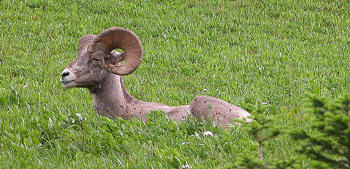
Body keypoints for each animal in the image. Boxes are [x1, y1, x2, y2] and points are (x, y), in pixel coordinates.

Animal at [60, 27, 252, 125]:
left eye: (96, 59)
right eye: (79, 55)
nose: (65, 74)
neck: (125, 108)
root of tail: (248, 118)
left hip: (199, 102)